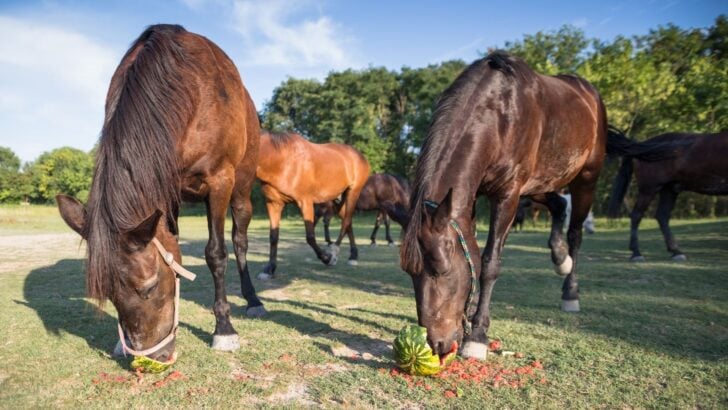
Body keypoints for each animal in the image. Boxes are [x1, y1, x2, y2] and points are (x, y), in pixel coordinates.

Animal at [256, 131, 370, 279]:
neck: (282, 160)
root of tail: (359, 155)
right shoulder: (274, 204)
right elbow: (273, 237)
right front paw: (270, 269)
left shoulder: (305, 202)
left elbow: (310, 237)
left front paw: (326, 258)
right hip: (337, 200)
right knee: (348, 222)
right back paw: (353, 256)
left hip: (353, 192)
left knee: (345, 222)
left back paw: (334, 253)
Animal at [399, 51, 618, 361]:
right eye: (409, 272)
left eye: (441, 269)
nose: (437, 344)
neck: (499, 114)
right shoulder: (472, 197)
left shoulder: (508, 195)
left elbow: (489, 263)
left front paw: (477, 336)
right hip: (541, 184)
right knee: (558, 206)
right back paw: (560, 258)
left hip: (585, 179)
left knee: (575, 232)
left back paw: (570, 291)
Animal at [607, 128, 728, 261]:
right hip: (648, 190)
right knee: (636, 215)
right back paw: (637, 253)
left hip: (669, 189)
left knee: (662, 216)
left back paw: (676, 252)